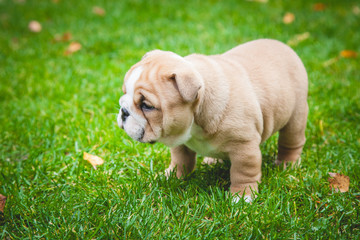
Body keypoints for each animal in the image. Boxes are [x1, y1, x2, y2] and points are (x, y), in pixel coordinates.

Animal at [116, 39, 308, 202]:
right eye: (124, 92)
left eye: (146, 106)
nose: (124, 111)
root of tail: (284, 46)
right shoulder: (180, 140)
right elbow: (180, 161)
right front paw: (171, 177)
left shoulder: (244, 148)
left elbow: (243, 172)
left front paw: (242, 196)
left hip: (296, 116)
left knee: (291, 142)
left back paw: (287, 164)